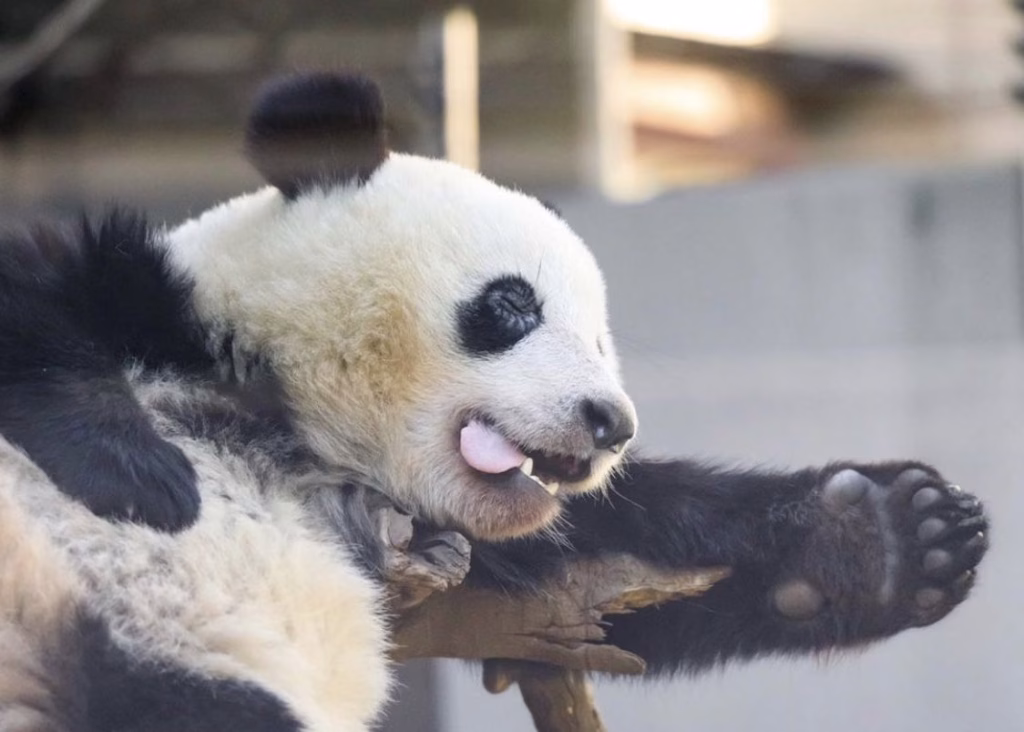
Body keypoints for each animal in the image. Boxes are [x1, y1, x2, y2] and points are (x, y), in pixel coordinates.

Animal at [0, 73, 989, 732]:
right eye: (514, 304)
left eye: (603, 341)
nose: (609, 423)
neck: (303, 432)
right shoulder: (160, 302)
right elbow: (38, 312)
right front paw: (140, 470)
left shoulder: (452, 551)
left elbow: (620, 568)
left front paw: (887, 537)